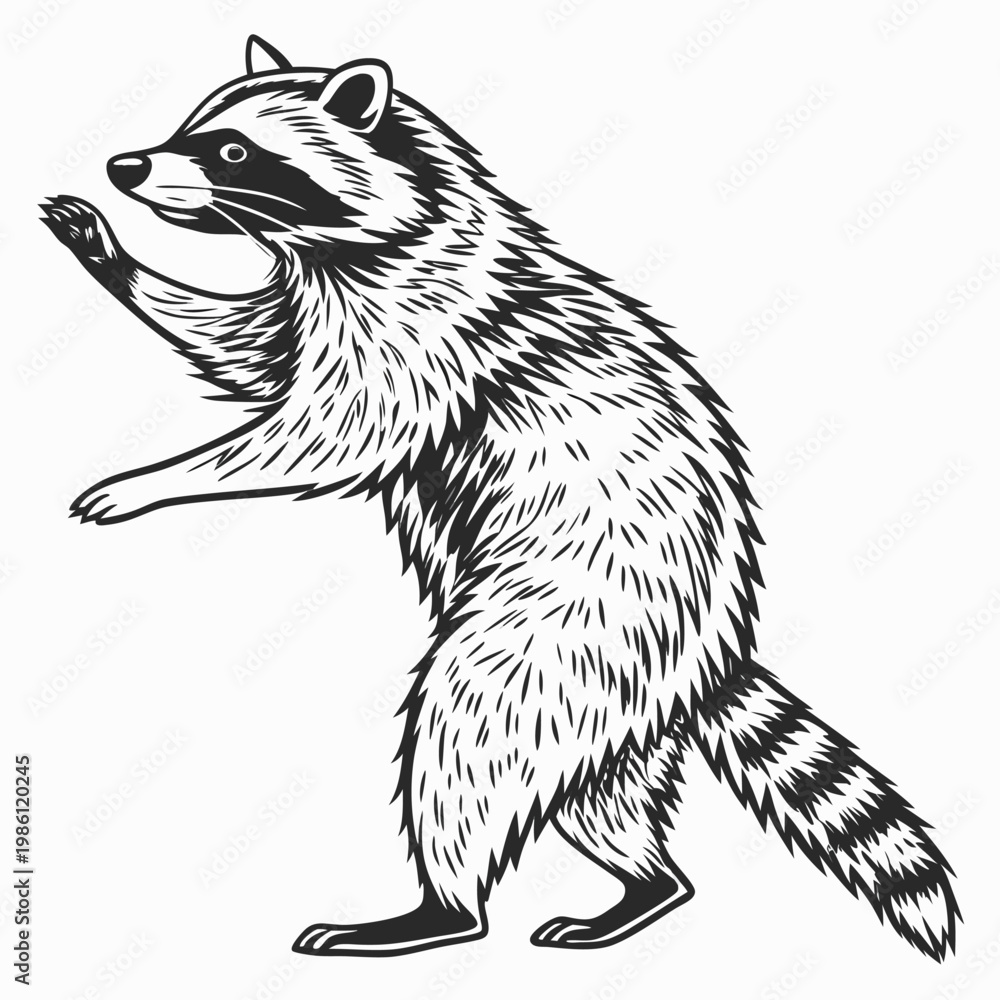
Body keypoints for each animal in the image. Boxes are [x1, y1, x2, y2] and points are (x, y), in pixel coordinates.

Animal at [42, 36, 959, 959]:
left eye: (232, 151)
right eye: (188, 125)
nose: (125, 167)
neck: (354, 242)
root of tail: (712, 651)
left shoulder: (425, 336)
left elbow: (324, 433)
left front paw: (158, 477)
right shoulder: (314, 306)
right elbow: (242, 348)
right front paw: (115, 258)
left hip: (568, 634)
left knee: (469, 746)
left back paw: (442, 909)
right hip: (615, 707)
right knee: (603, 801)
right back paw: (644, 885)